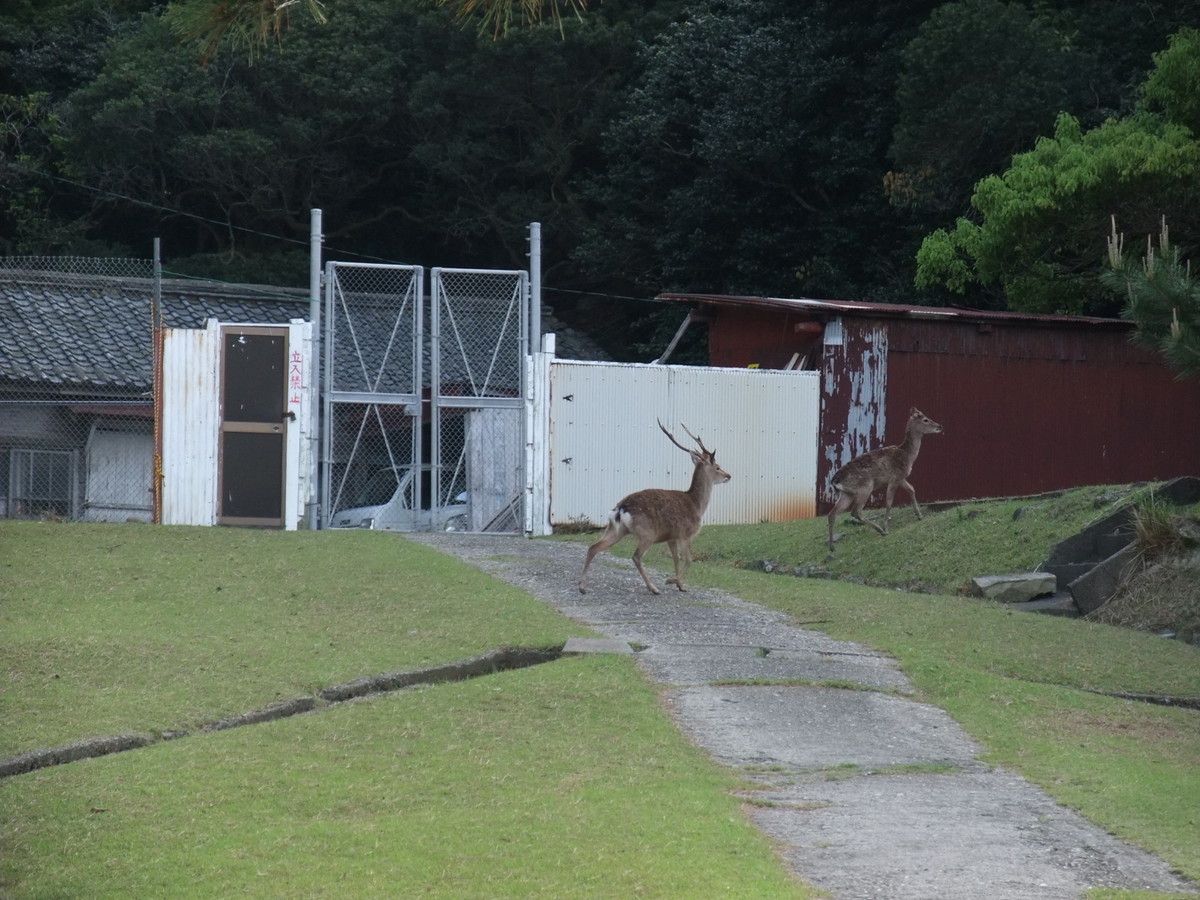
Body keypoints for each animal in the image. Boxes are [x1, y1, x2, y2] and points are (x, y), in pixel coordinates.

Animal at [578, 422, 729, 595]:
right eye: (717, 467)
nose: (728, 475)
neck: (697, 504)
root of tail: (620, 509)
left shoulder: (671, 537)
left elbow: (676, 560)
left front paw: (680, 585)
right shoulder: (685, 533)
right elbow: (689, 560)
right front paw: (671, 581)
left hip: (615, 529)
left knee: (593, 547)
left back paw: (582, 586)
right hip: (647, 533)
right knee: (636, 556)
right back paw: (653, 587)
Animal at [825, 408, 945, 549]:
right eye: (925, 419)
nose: (940, 426)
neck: (908, 456)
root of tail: (834, 481)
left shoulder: (901, 477)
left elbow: (911, 489)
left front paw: (919, 515)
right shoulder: (894, 478)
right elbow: (889, 502)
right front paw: (886, 526)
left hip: (846, 493)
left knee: (832, 514)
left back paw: (832, 547)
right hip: (865, 486)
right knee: (856, 511)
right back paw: (881, 531)